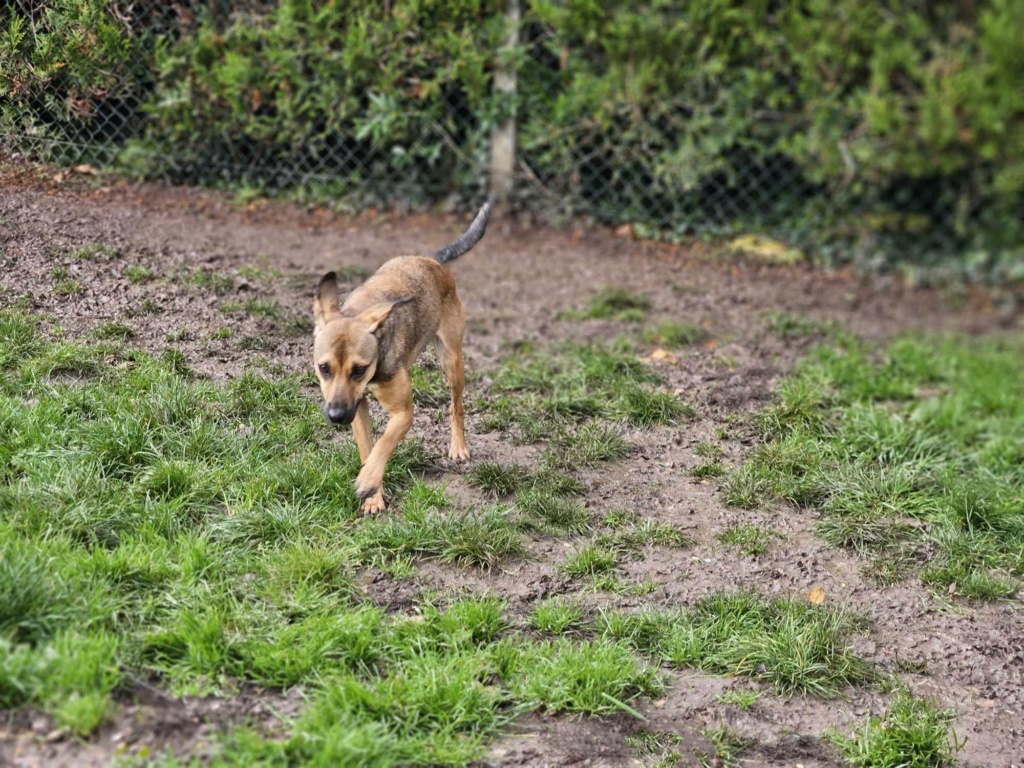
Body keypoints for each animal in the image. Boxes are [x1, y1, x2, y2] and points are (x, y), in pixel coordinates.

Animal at [309, 201, 489, 514]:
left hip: (452, 361)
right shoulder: (358, 407)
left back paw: (458, 447)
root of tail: (433, 261)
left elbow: (384, 443)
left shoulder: (403, 413)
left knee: (456, 407)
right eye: (324, 368)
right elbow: (368, 448)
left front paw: (368, 481)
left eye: (359, 369)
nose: (337, 417)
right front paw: (373, 496)